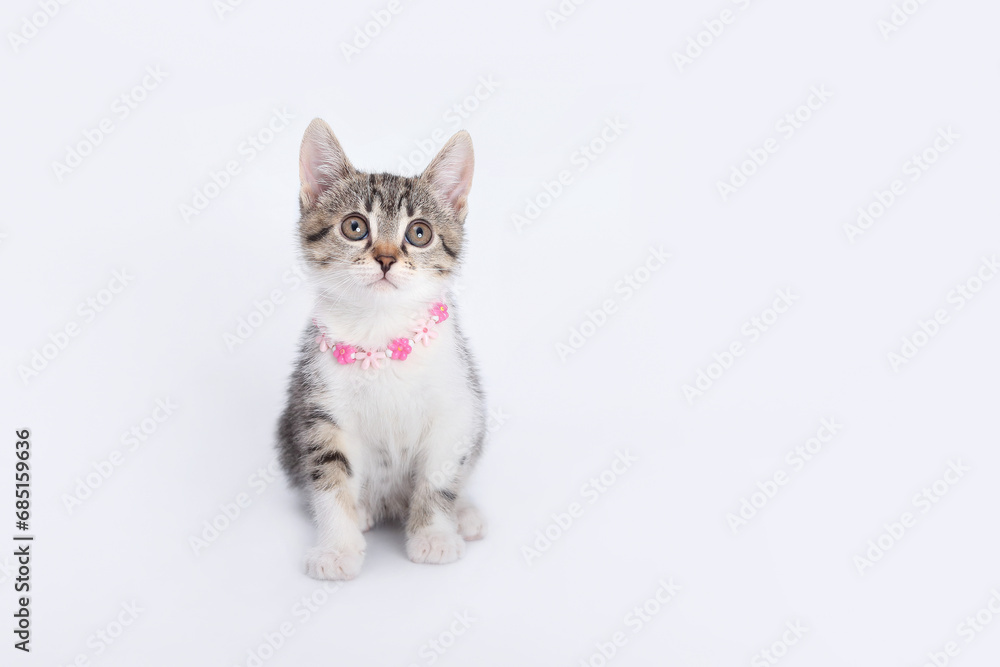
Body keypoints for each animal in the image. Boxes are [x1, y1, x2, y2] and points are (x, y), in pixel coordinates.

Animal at [278, 118, 488, 580]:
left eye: (419, 233)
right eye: (355, 227)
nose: (387, 258)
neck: (381, 330)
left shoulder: (456, 406)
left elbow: (439, 476)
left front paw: (434, 535)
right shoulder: (321, 406)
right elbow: (329, 475)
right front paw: (337, 548)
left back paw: (464, 513)